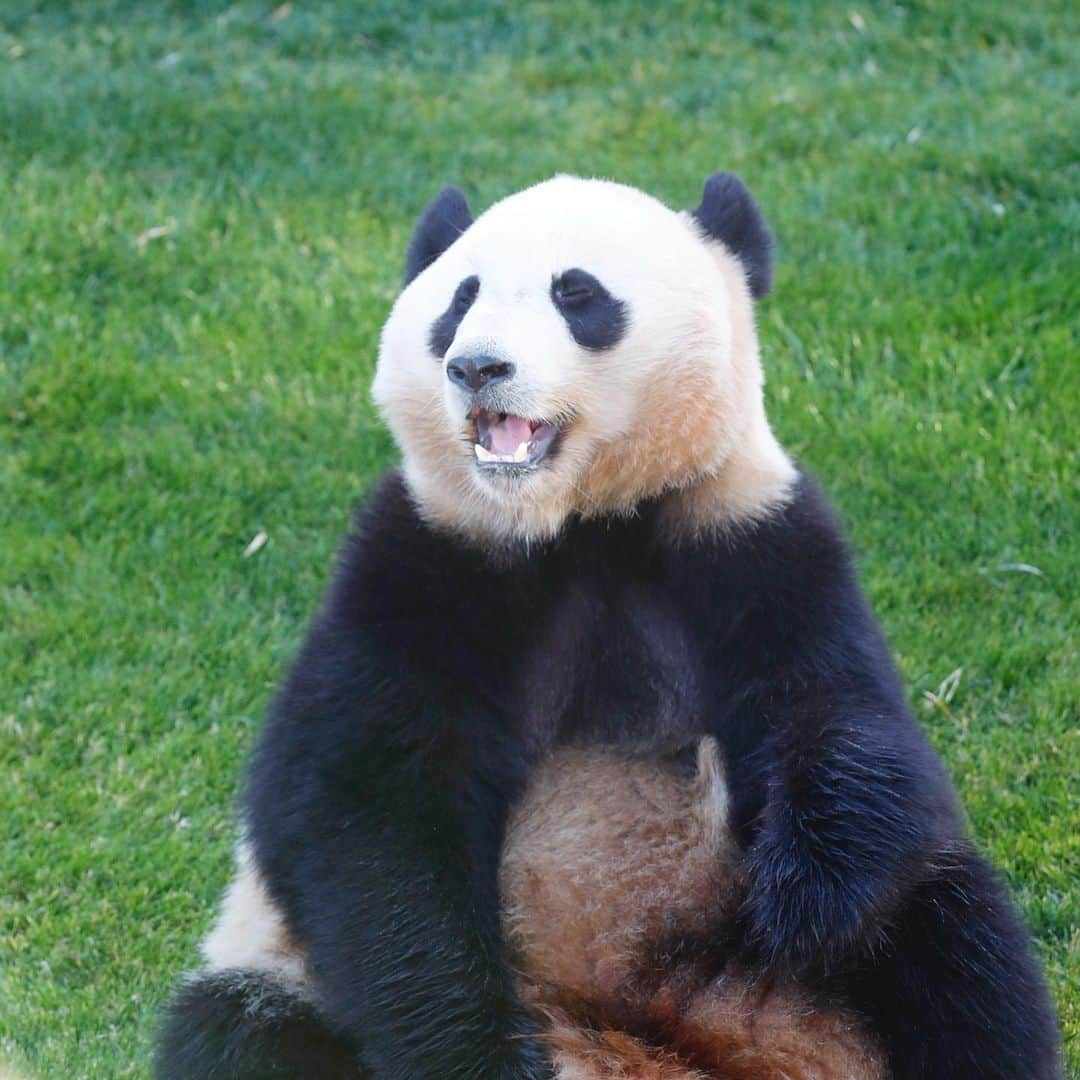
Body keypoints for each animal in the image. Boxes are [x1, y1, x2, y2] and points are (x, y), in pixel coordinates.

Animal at [154, 172, 1062, 1075]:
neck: (580, 520)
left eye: (577, 294)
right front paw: (481, 1053)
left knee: (961, 951)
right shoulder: (422, 562)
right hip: (280, 974)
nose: (476, 365)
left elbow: (841, 717)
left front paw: (802, 900)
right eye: (460, 298)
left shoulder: (755, 542)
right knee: (240, 1029)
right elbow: (363, 804)